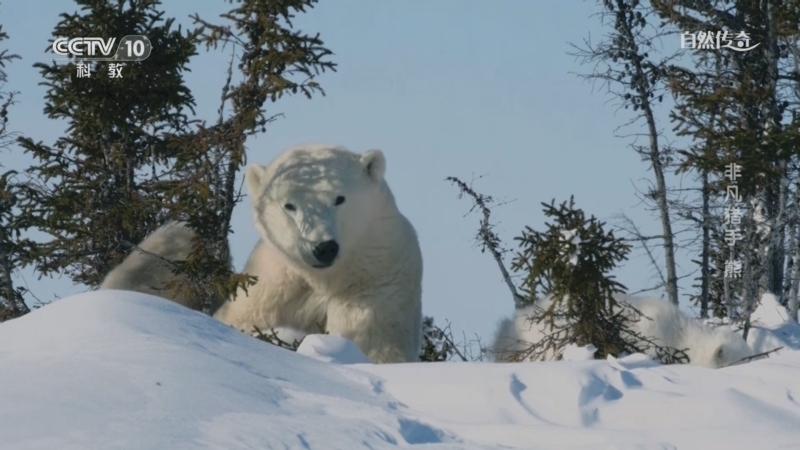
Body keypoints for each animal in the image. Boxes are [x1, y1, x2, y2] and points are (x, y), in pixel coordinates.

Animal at [100, 144, 424, 364]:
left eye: (339, 199)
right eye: (289, 205)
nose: (323, 247)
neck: (321, 278)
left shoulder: (376, 278)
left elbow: (368, 344)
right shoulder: (267, 282)